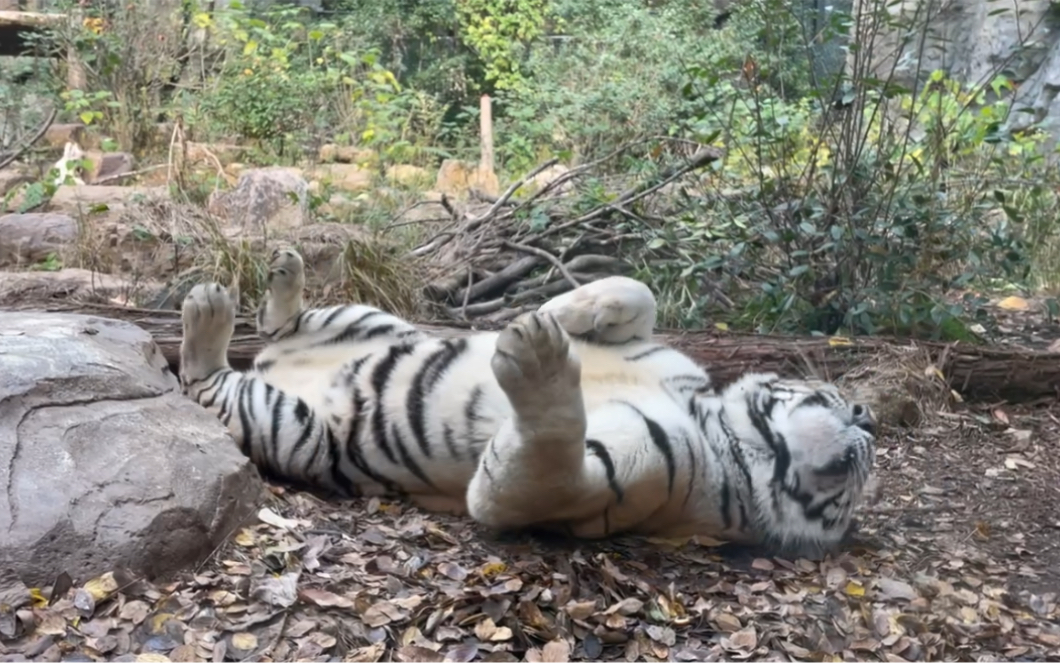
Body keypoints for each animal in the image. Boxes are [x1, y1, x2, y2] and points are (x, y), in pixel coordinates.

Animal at [180, 248, 877, 560]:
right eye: (833, 395)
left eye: (854, 473)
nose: (867, 414)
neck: (719, 420)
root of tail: (271, 365)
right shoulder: (665, 354)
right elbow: (639, 292)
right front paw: (560, 314)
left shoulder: (591, 485)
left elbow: (549, 441)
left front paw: (539, 354)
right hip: (367, 317)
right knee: (279, 323)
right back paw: (277, 274)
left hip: (295, 428)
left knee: (204, 380)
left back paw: (208, 311)